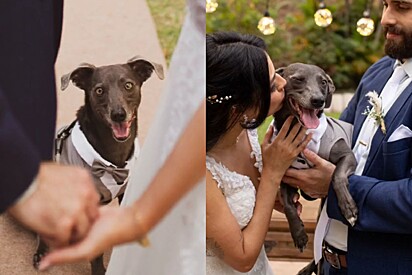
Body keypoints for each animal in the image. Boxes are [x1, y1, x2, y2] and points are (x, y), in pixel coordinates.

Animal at [33, 56, 164, 275]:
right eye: (99, 90)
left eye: (128, 85)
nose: (118, 114)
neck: (113, 159)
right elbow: (95, 252)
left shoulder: (124, 194)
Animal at [272, 63, 356, 274]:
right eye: (298, 79)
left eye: (323, 82)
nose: (318, 100)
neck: (301, 132)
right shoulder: (287, 176)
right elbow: (288, 206)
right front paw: (299, 234)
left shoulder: (347, 156)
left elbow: (337, 176)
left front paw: (349, 209)